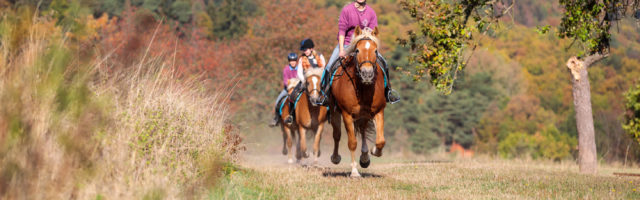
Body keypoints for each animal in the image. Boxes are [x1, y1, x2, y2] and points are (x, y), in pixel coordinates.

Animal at [330, 26, 384, 177]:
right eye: (358, 50)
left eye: (375, 51)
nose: (367, 74)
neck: (363, 86)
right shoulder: (347, 114)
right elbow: (352, 142)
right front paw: (354, 171)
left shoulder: (378, 112)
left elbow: (380, 141)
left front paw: (374, 151)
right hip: (335, 112)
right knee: (337, 134)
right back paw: (335, 158)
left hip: (364, 116)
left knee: (364, 130)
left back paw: (365, 158)